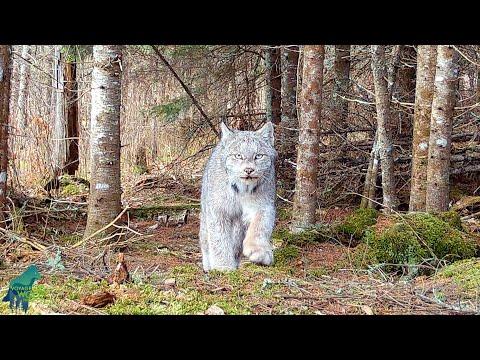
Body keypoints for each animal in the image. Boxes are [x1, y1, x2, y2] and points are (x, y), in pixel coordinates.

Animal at [199, 121, 276, 270]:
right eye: (238, 156)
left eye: (258, 156)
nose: (248, 170)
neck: (242, 190)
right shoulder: (218, 210)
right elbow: (219, 238)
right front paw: (223, 266)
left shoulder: (264, 205)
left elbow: (260, 225)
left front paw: (258, 250)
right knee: (205, 238)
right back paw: (208, 265)